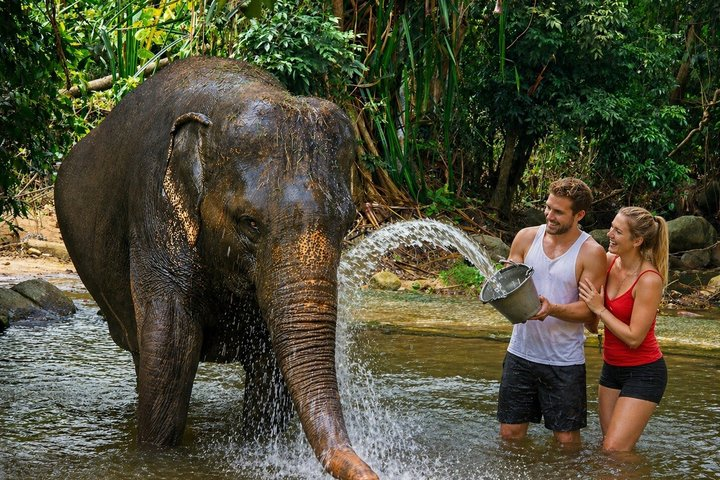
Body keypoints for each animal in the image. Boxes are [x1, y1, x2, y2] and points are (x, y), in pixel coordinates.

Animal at [54, 56, 378, 480]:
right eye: (250, 223)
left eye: (348, 222)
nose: (374, 471)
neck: (231, 97)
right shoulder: (154, 214)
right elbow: (172, 350)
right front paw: (153, 456)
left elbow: (270, 365)